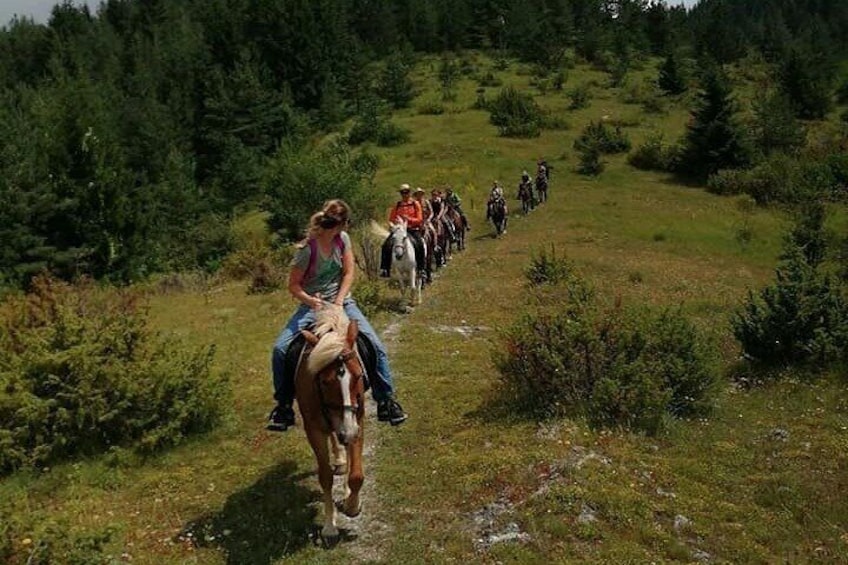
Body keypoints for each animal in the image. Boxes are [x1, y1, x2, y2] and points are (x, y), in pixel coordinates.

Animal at [294, 304, 364, 540]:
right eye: (324, 382)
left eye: (359, 376)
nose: (348, 432)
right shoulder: (314, 429)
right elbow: (325, 476)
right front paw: (329, 526)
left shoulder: (358, 420)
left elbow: (357, 475)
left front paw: (352, 505)